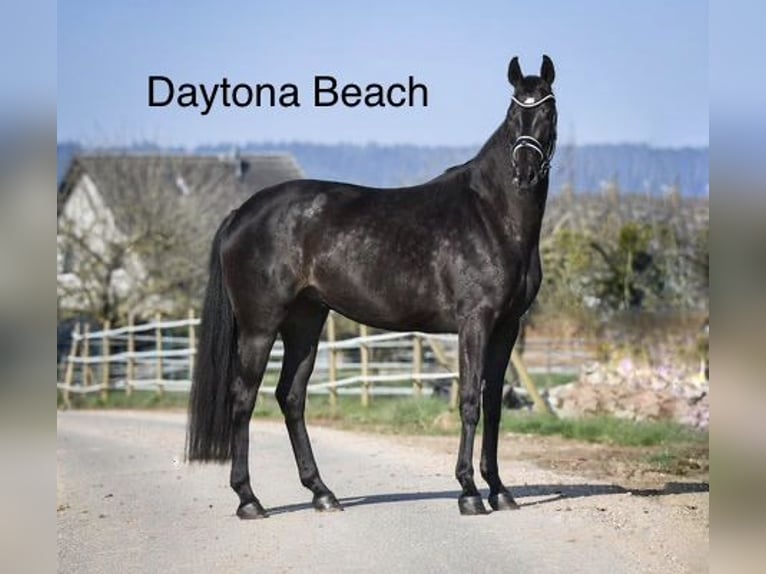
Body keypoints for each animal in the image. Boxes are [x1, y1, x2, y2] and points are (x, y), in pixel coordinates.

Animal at [186, 55, 558, 518]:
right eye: (512, 115)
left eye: (547, 111)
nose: (524, 173)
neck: (491, 214)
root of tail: (241, 213)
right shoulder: (475, 323)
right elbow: (470, 400)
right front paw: (469, 492)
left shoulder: (507, 326)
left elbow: (493, 405)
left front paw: (500, 490)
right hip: (260, 326)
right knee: (244, 398)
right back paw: (249, 500)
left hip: (305, 323)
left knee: (291, 397)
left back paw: (322, 493)